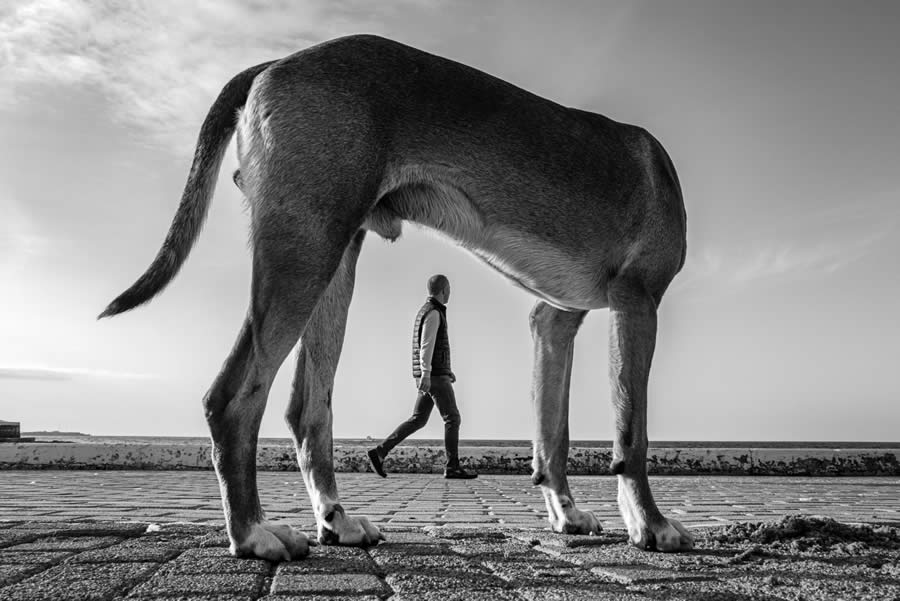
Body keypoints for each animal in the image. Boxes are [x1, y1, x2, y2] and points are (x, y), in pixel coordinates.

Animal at [98, 32, 692, 556]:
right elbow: (632, 435)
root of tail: (278, 62)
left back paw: (336, 521)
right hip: (303, 255)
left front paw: (567, 515)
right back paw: (253, 535)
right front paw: (651, 525)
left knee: (307, 409)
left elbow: (554, 433)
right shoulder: (637, 300)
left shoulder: (554, 319)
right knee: (232, 397)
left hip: (333, 262)